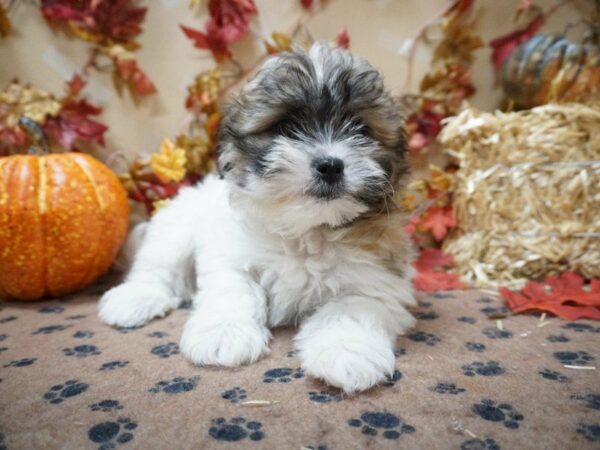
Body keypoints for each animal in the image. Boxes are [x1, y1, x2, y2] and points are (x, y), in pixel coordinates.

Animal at [99, 43, 418, 394]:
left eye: (360, 129)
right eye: (286, 128)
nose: (331, 165)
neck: (307, 230)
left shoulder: (378, 279)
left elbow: (352, 309)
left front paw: (346, 353)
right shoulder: (229, 255)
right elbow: (235, 288)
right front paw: (223, 333)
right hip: (175, 229)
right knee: (157, 267)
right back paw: (133, 299)